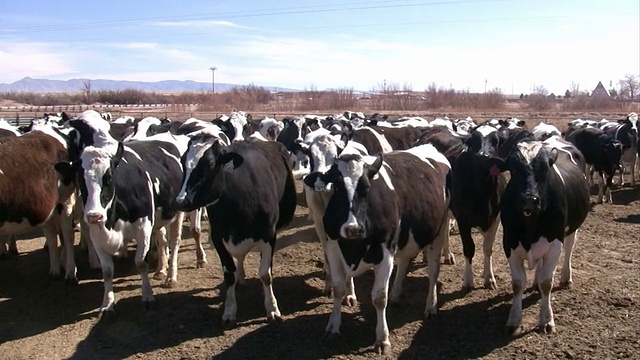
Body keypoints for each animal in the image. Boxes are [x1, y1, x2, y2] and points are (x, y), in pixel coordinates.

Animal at [58, 111, 188, 314]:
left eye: (109, 177)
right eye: (80, 178)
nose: (94, 215)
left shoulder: (143, 226)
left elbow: (141, 262)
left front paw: (148, 296)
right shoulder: (96, 232)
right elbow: (107, 271)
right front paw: (107, 304)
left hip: (177, 213)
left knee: (174, 242)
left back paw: (170, 276)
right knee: (161, 238)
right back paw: (161, 269)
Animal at [175, 135, 296, 326]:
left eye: (209, 163)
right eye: (182, 160)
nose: (181, 201)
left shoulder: (269, 235)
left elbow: (265, 274)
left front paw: (272, 308)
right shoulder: (218, 237)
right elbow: (229, 275)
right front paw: (230, 310)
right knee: (239, 258)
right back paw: (241, 276)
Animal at [304, 143, 450, 354]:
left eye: (366, 188)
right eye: (337, 187)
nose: (352, 228)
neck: (353, 247)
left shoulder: (386, 251)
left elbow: (379, 297)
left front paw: (382, 339)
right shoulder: (332, 246)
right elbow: (339, 289)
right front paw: (333, 327)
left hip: (439, 230)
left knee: (433, 272)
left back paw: (430, 306)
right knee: (404, 261)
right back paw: (396, 295)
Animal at [492, 139, 592, 334]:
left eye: (545, 168)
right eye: (513, 168)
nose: (529, 200)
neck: (530, 226)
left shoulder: (555, 244)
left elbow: (547, 282)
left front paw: (546, 320)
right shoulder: (509, 242)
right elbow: (517, 283)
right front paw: (514, 320)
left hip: (571, 228)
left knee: (570, 248)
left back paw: (565, 278)